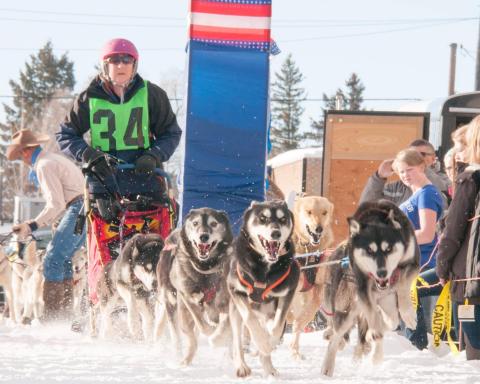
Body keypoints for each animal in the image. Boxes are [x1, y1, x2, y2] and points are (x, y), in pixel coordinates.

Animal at [228, 201, 300, 378]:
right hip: (234, 311)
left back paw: (269, 367)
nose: (276, 233)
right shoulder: (236, 290)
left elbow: (277, 327)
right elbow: (250, 319)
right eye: (263, 218)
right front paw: (261, 341)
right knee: (238, 340)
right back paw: (242, 366)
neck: (264, 267)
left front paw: (268, 344)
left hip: (268, 312)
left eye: (282, 219)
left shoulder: (288, 292)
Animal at [322, 200, 420, 376]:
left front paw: (408, 314)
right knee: (335, 337)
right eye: (369, 250)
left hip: (382, 302)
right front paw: (376, 356)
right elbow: (377, 329)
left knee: (390, 320)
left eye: (389, 249)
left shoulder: (413, 264)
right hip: (347, 311)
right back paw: (328, 366)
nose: (382, 273)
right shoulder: (363, 289)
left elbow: (402, 286)